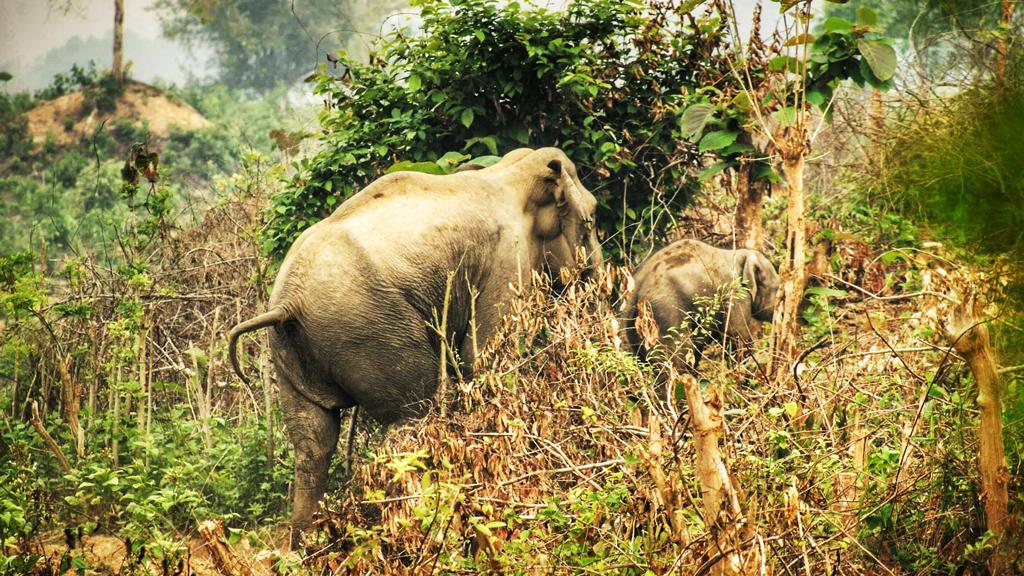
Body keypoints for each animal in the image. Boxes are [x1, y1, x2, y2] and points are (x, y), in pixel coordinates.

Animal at [228, 145, 602, 541]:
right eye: (592, 218)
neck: (510, 173)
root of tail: (287, 303)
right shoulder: (507, 261)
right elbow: (486, 358)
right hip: (370, 328)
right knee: (411, 416)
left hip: (291, 349)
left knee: (313, 441)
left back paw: (309, 546)